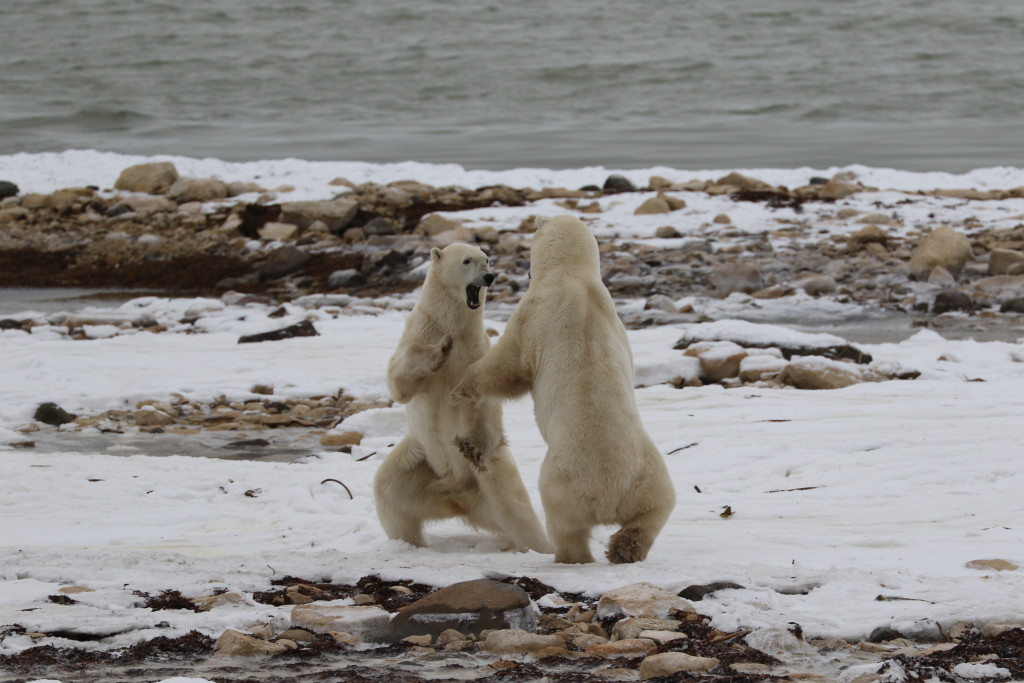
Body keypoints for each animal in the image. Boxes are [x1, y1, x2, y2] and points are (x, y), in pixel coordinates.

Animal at [373, 242, 552, 554]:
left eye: (487, 259)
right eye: (467, 261)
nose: (489, 277)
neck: (454, 325)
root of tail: (458, 492)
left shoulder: (476, 351)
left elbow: (480, 399)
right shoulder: (417, 334)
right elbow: (400, 383)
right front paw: (440, 350)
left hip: (491, 472)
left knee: (515, 509)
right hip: (420, 461)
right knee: (389, 493)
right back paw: (408, 544)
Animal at [453, 216, 676, 564]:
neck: (574, 276)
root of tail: (608, 495)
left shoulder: (533, 314)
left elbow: (508, 366)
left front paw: (464, 386)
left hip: (563, 482)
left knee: (565, 524)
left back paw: (572, 555)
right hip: (650, 475)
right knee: (654, 510)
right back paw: (625, 549)